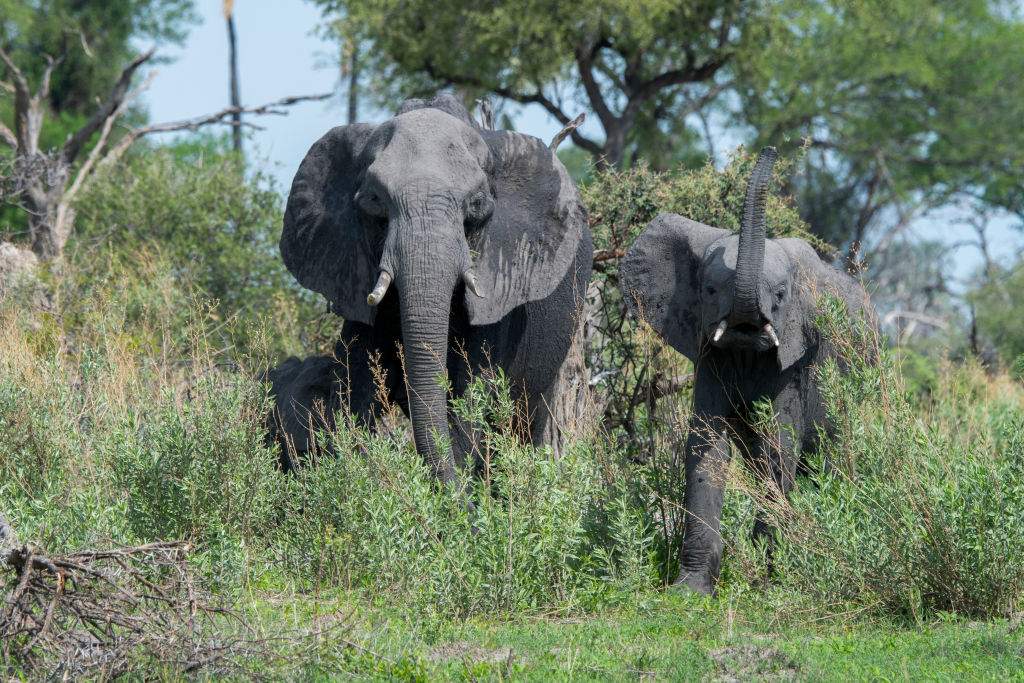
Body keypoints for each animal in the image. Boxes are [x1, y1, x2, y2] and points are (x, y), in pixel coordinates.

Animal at [619, 147, 876, 595]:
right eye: (708, 290)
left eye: (781, 295)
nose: (771, 150)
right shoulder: (709, 355)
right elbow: (706, 447)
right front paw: (691, 590)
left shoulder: (796, 358)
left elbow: (779, 445)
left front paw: (770, 580)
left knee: (832, 458)